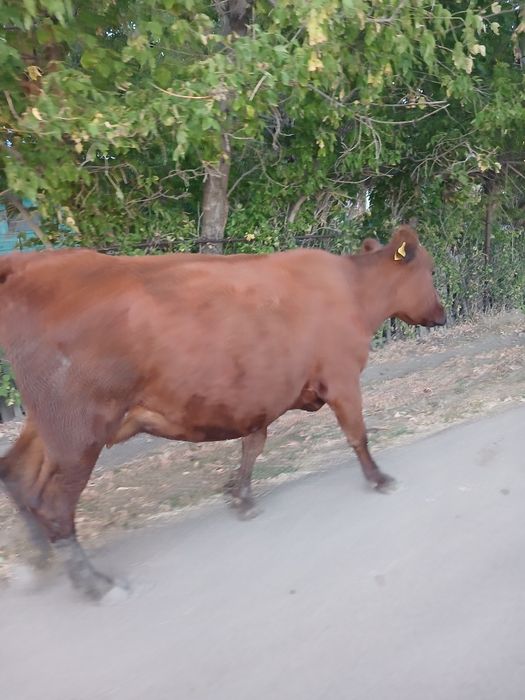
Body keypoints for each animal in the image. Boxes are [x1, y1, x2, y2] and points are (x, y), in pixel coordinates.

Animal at [0, 224, 445, 601]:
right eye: (431, 269)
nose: (441, 314)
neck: (353, 289)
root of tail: (33, 264)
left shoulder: (260, 395)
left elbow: (253, 444)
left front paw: (241, 496)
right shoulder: (341, 378)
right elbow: (357, 434)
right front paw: (379, 479)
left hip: (49, 425)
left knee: (17, 474)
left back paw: (41, 562)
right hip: (81, 430)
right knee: (53, 504)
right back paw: (93, 582)